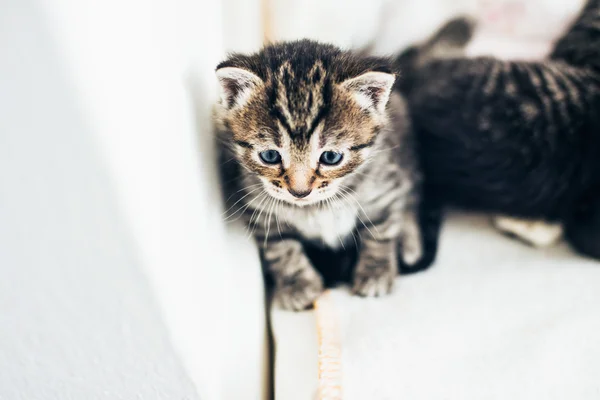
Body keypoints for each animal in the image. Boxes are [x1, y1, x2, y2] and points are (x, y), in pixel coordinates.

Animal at [216, 39, 440, 310]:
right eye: (269, 156)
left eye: (331, 157)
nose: (299, 192)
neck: (316, 206)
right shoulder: (259, 208)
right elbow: (280, 248)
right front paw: (298, 284)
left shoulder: (382, 187)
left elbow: (381, 229)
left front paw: (375, 272)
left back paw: (409, 242)